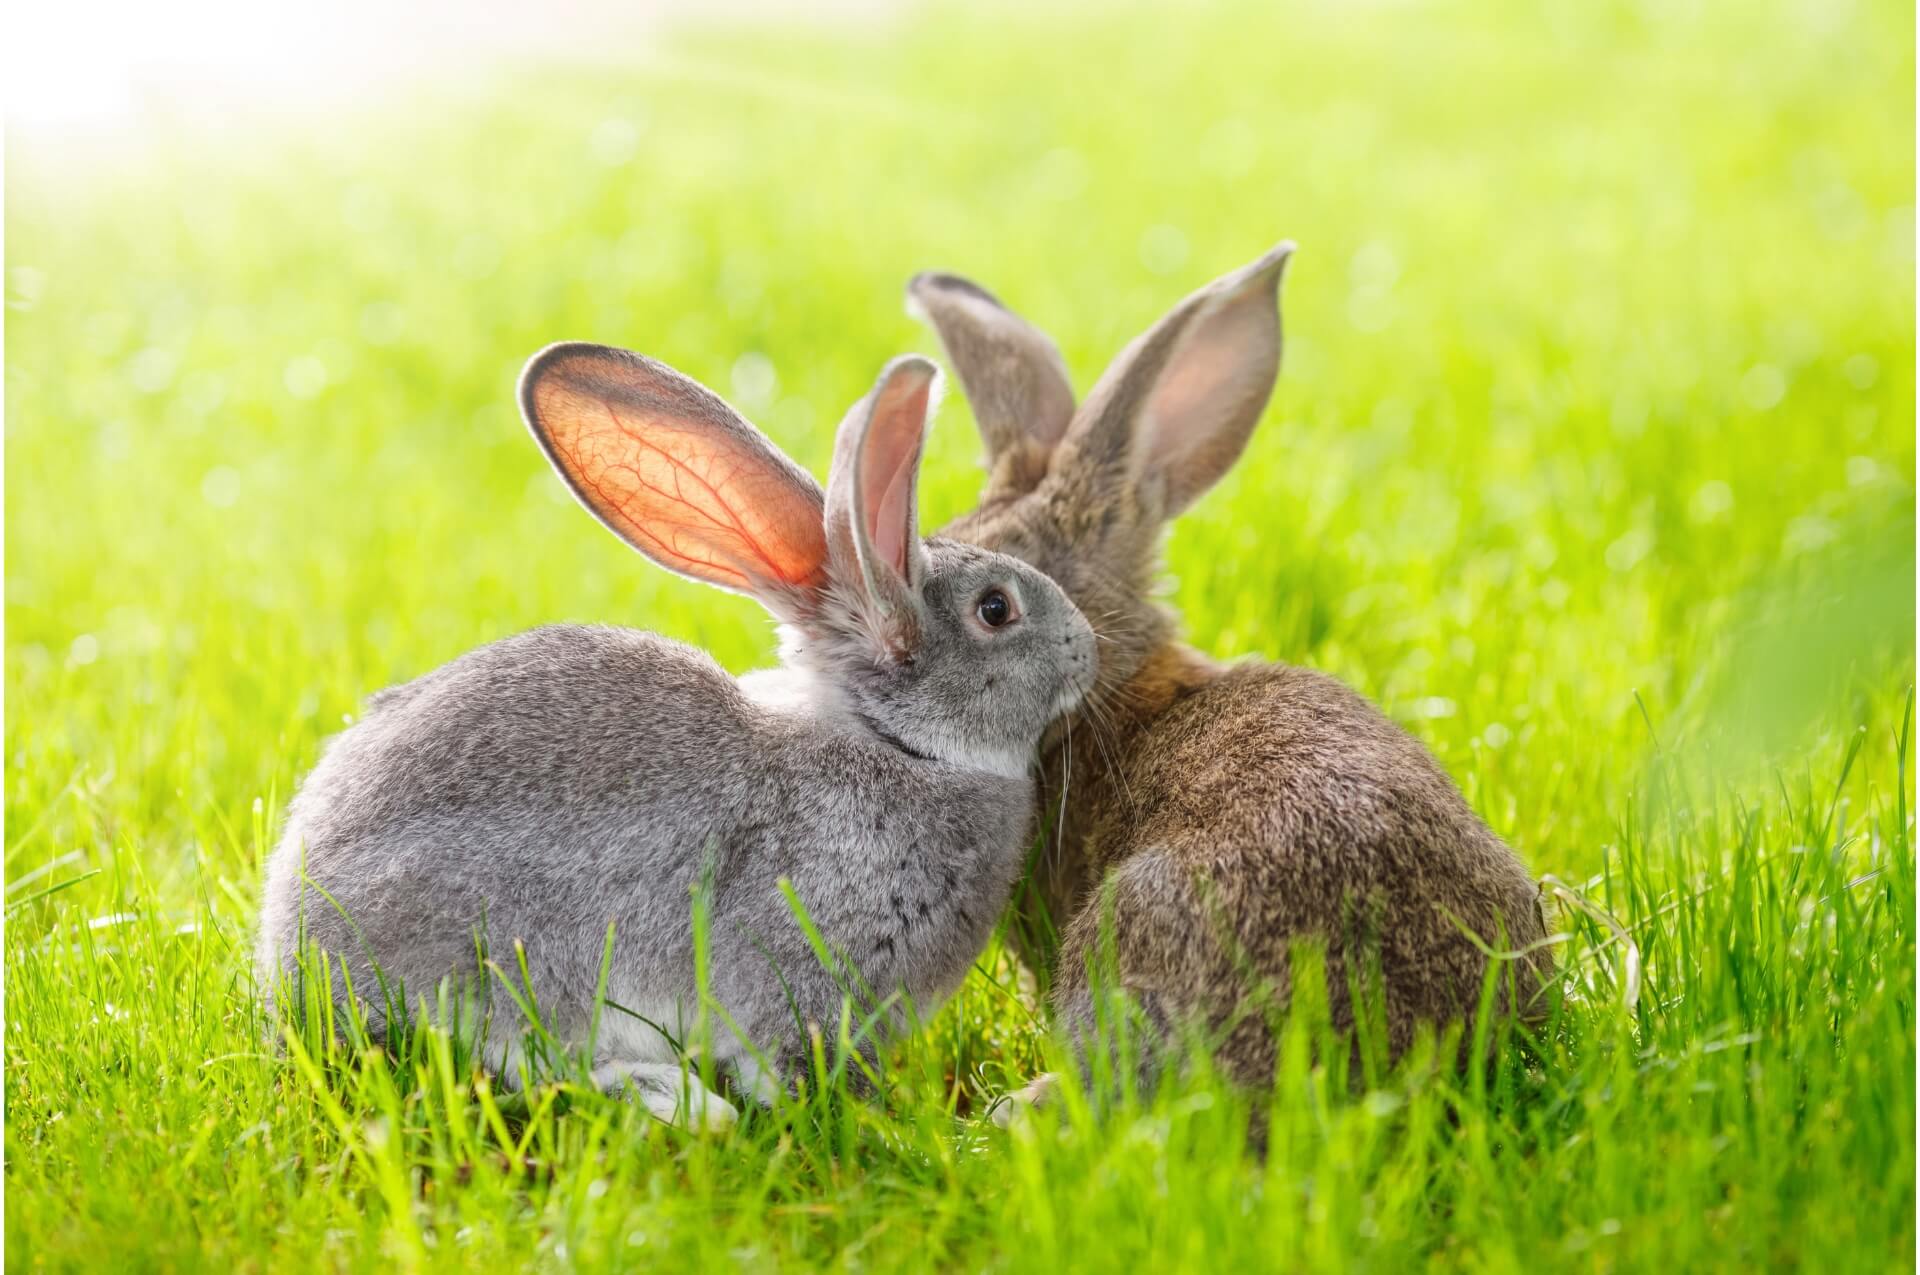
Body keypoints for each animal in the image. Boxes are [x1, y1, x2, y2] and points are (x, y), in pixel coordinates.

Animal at [255, 346, 1098, 1130]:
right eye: (996, 610)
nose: (1086, 647)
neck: (897, 743)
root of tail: (290, 957)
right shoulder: (802, 978)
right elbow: (788, 1060)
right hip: (512, 960)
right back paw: (679, 1102)